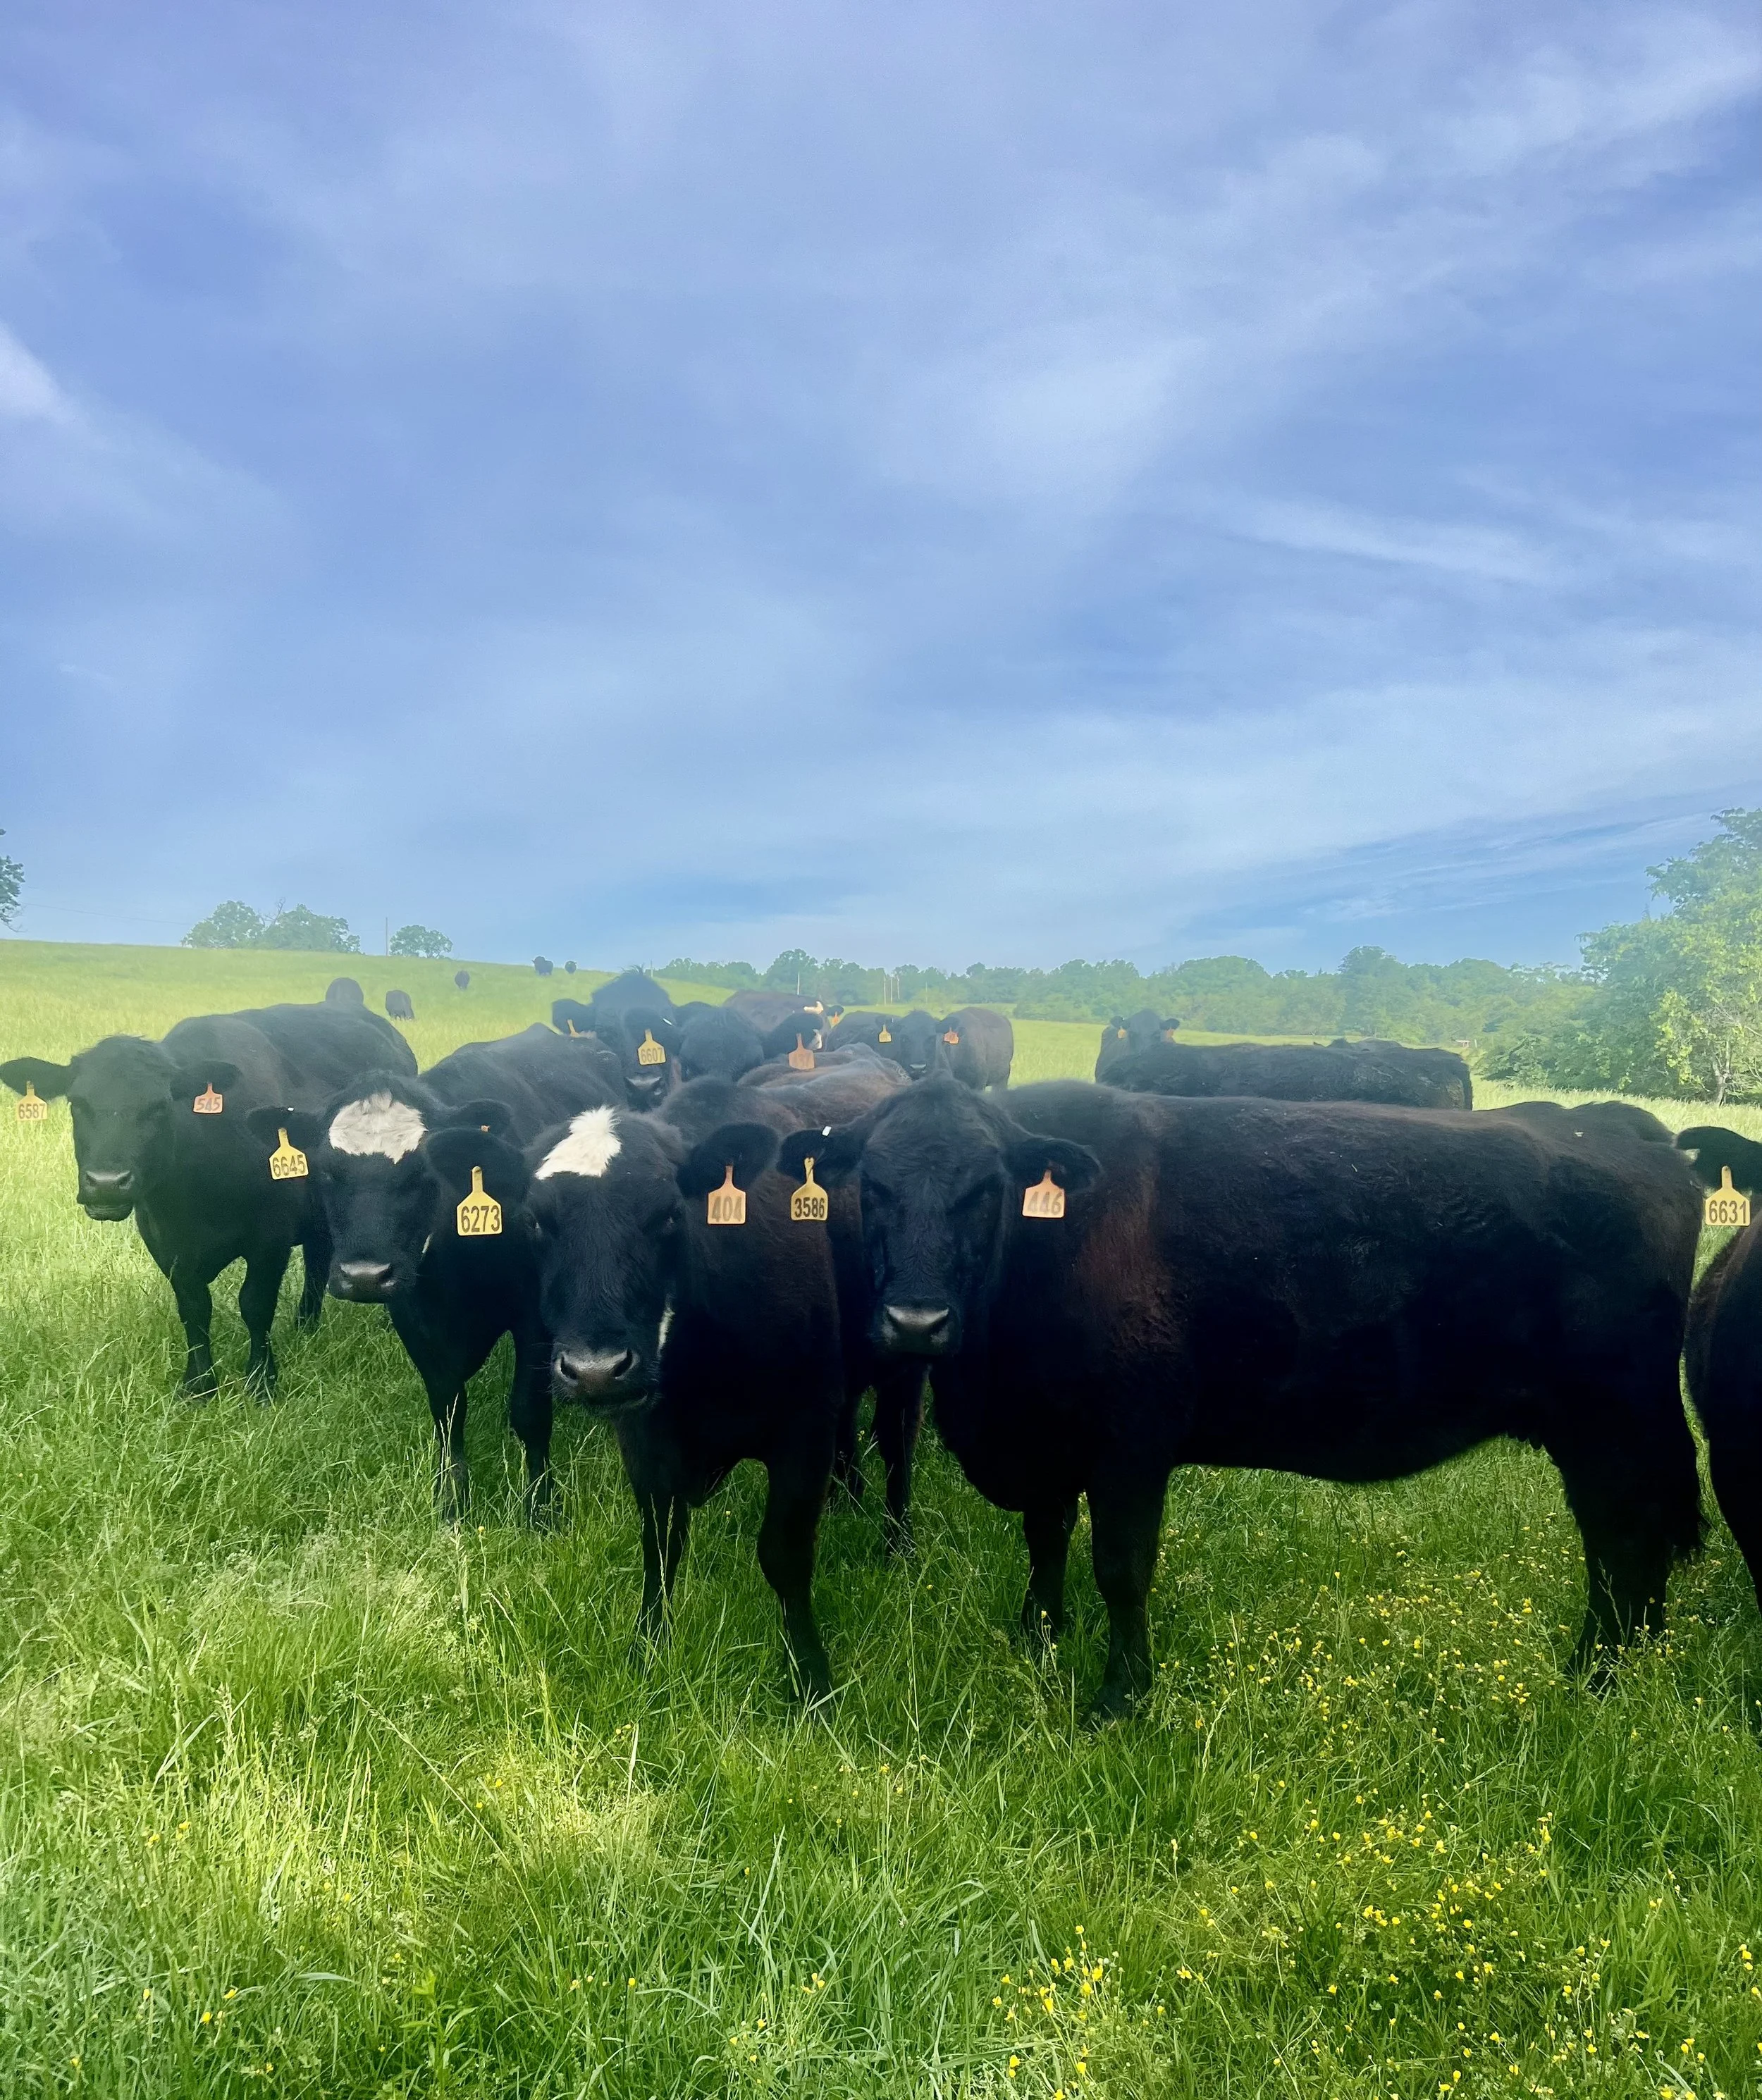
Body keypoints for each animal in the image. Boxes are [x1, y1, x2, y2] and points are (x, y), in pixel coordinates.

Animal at [1, 1002, 417, 1398]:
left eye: (160, 1106)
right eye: (77, 1103)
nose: (106, 1184)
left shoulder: (270, 1240)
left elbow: (255, 1305)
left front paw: (261, 1382)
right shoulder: (166, 1243)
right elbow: (195, 1308)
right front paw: (199, 1384)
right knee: (317, 1260)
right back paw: (305, 1326)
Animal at [245, 1024, 621, 1520]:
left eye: (425, 1172)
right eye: (325, 1170)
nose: (365, 1275)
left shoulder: (534, 1319)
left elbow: (530, 1414)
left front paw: (541, 1508)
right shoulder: (413, 1316)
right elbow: (447, 1409)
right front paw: (452, 1500)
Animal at [774, 1078, 1704, 1717]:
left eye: (985, 1189)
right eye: (874, 1187)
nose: (915, 1322)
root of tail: (1622, 1125)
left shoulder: (1133, 1440)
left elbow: (1121, 1566)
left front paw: (1120, 1699)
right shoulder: (1048, 1439)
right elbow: (1046, 1539)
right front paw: (1037, 1634)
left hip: (1610, 1425)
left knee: (1620, 1544)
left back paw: (1594, 1676)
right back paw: (1630, 1664)